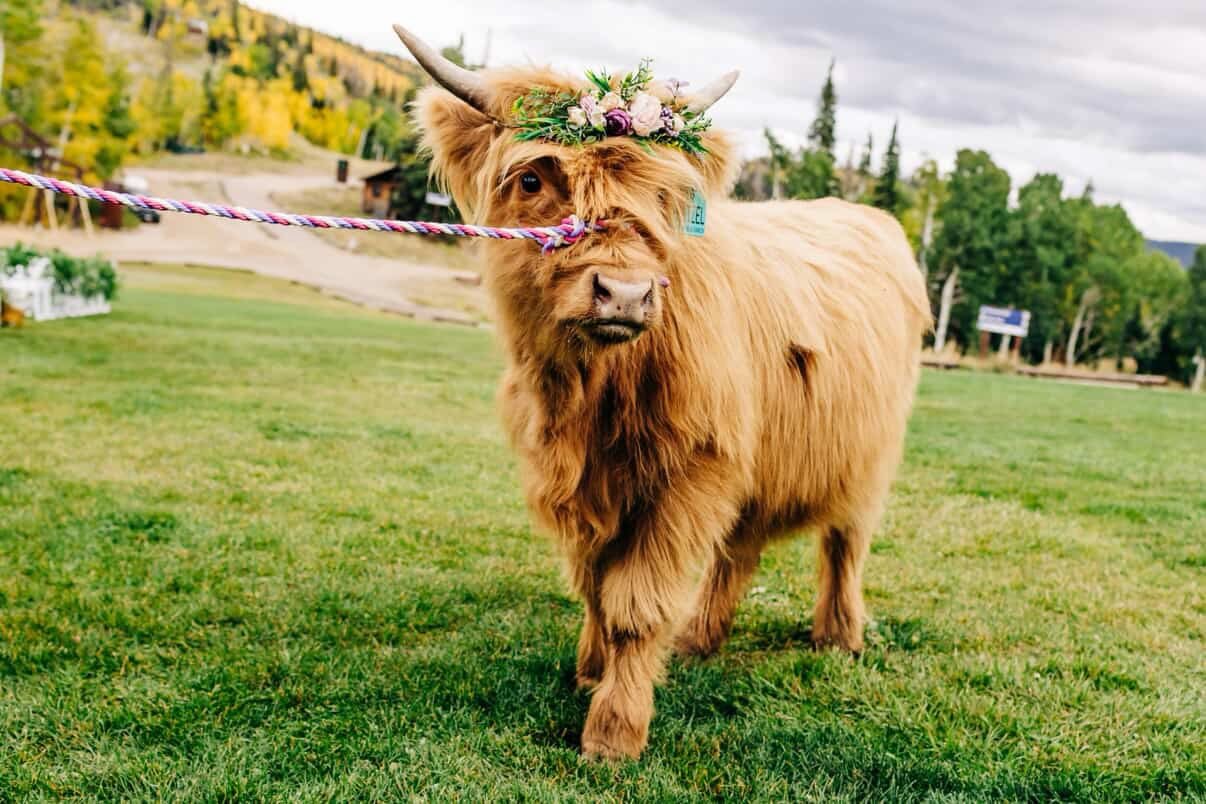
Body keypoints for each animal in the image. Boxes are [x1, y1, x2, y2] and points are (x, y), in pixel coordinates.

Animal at [393, 25, 932, 761]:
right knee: (741, 547)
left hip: (867, 453)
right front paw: (590, 671)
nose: (625, 293)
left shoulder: (689, 473)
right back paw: (701, 639)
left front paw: (614, 731)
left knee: (845, 542)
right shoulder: (582, 480)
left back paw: (838, 637)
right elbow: (594, 585)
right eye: (534, 178)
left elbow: (635, 603)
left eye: (662, 196)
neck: (592, 394)